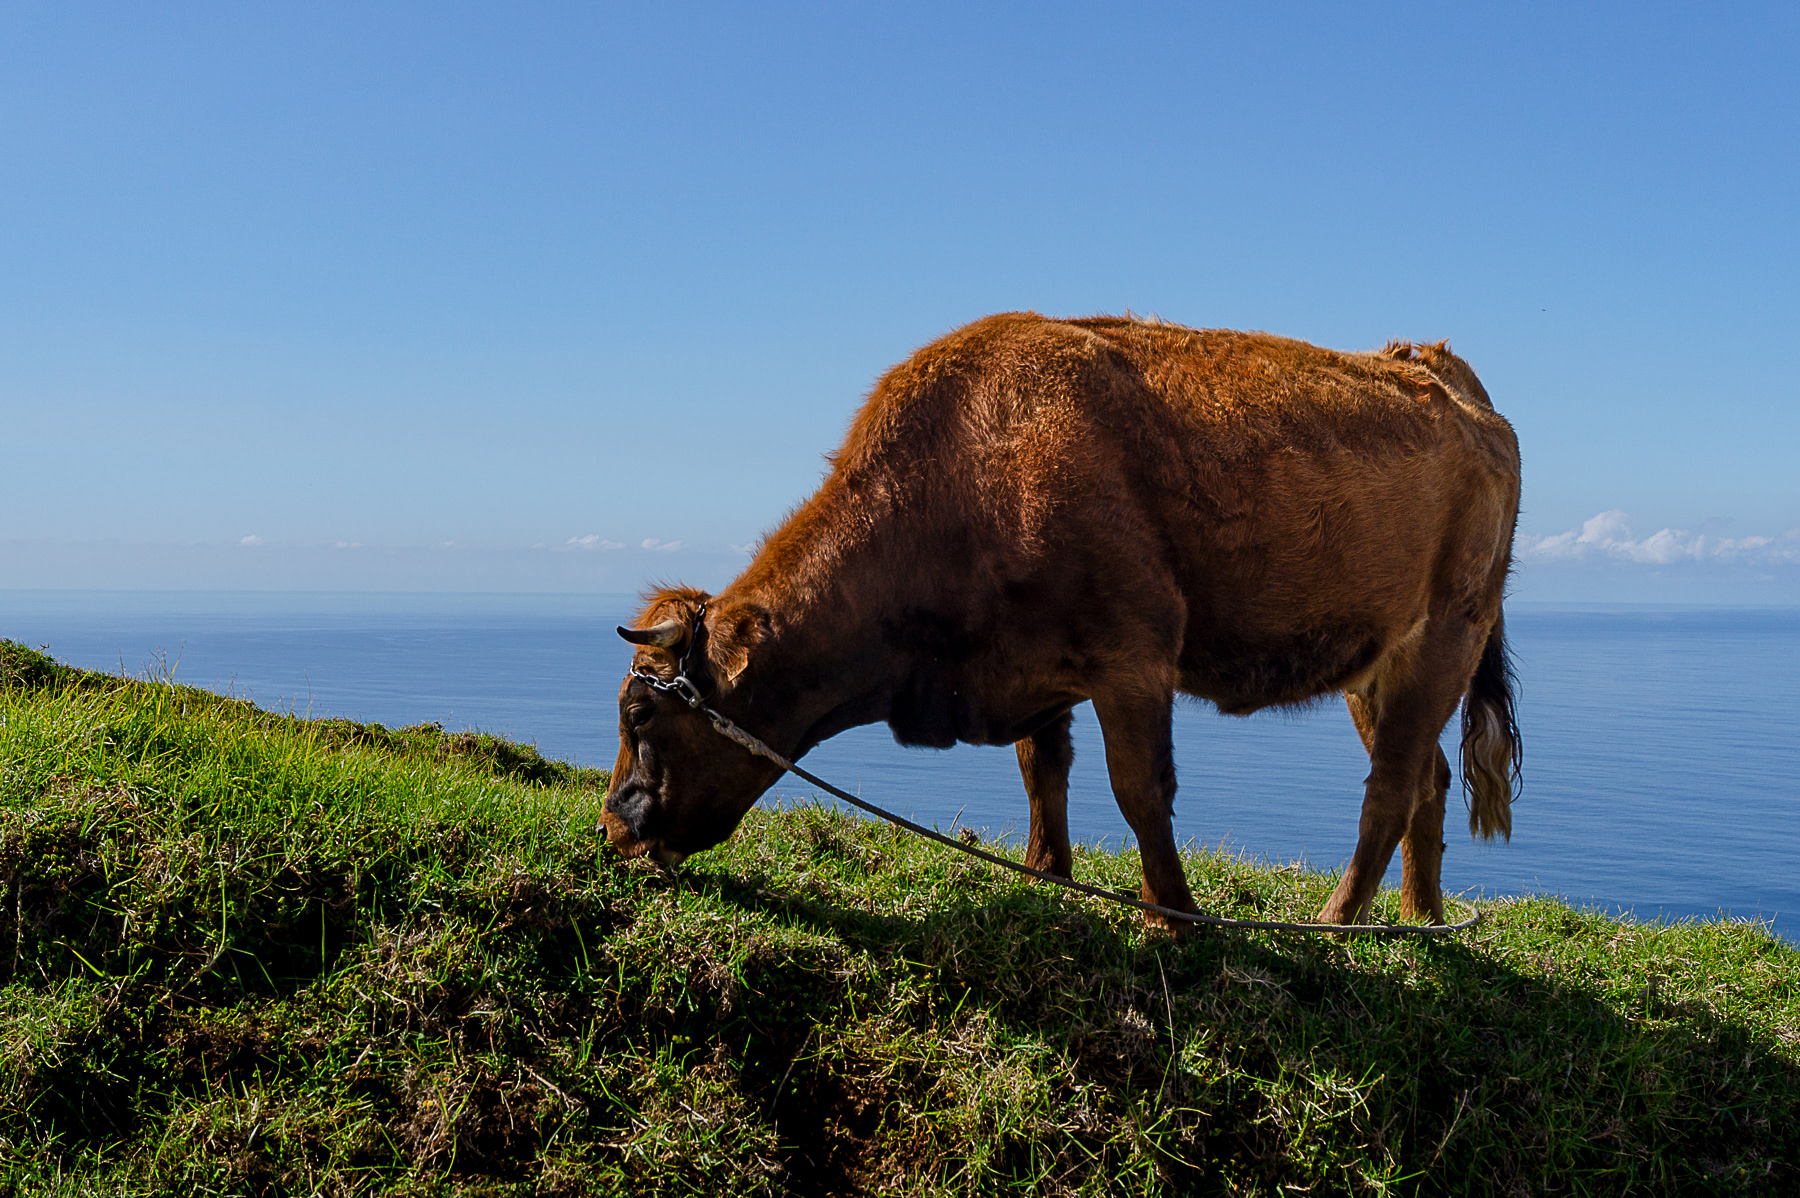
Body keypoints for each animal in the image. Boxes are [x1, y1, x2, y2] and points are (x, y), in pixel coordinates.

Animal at [603, 312, 1521, 928]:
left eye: (639, 714)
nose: (613, 827)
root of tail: (1443, 370)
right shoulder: (1038, 668)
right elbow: (1041, 771)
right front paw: (1044, 876)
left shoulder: (1133, 653)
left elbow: (1140, 789)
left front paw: (1172, 919)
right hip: (1376, 663)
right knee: (1428, 778)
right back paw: (1422, 921)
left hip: (1450, 633)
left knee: (1391, 787)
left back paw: (1336, 926)